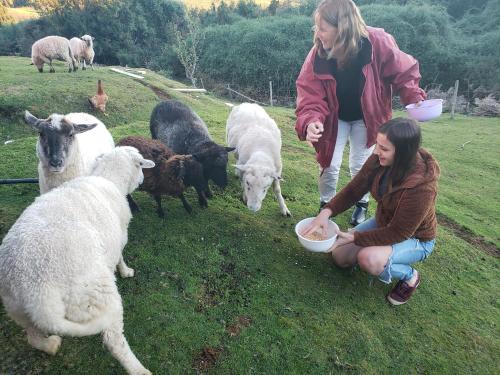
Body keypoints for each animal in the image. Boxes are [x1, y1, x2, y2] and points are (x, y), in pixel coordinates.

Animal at [0, 145, 154, 374]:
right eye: (141, 165)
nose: (143, 179)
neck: (109, 178)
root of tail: (37, 293)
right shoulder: (119, 236)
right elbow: (119, 256)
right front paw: (125, 271)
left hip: (17, 309)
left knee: (33, 337)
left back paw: (51, 344)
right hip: (97, 296)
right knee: (113, 340)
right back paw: (138, 369)